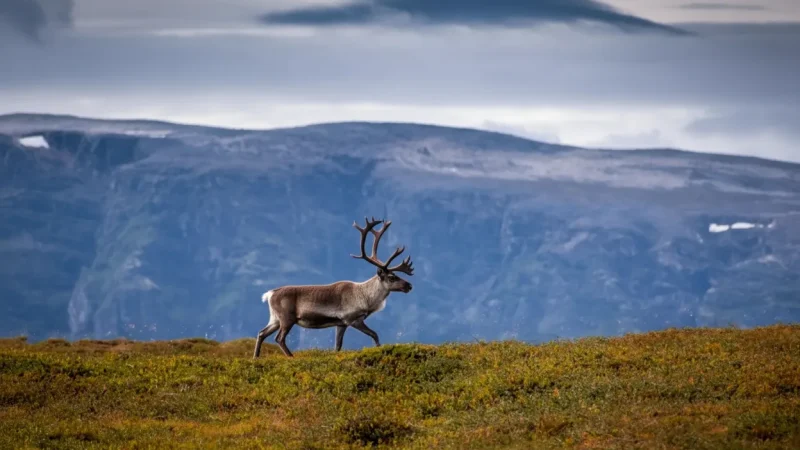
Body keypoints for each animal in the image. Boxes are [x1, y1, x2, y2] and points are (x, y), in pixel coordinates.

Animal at [253, 217, 414, 358]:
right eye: (392, 277)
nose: (409, 285)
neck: (366, 297)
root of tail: (270, 294)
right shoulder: (353, 319)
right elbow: (374, 334)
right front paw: (380, 350)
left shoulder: (341, 324)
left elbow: (338, 346)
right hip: (287, 318)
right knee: (279, 338)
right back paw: (291, 357)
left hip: (275, 319)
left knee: (261, 333)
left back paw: (256, 357)